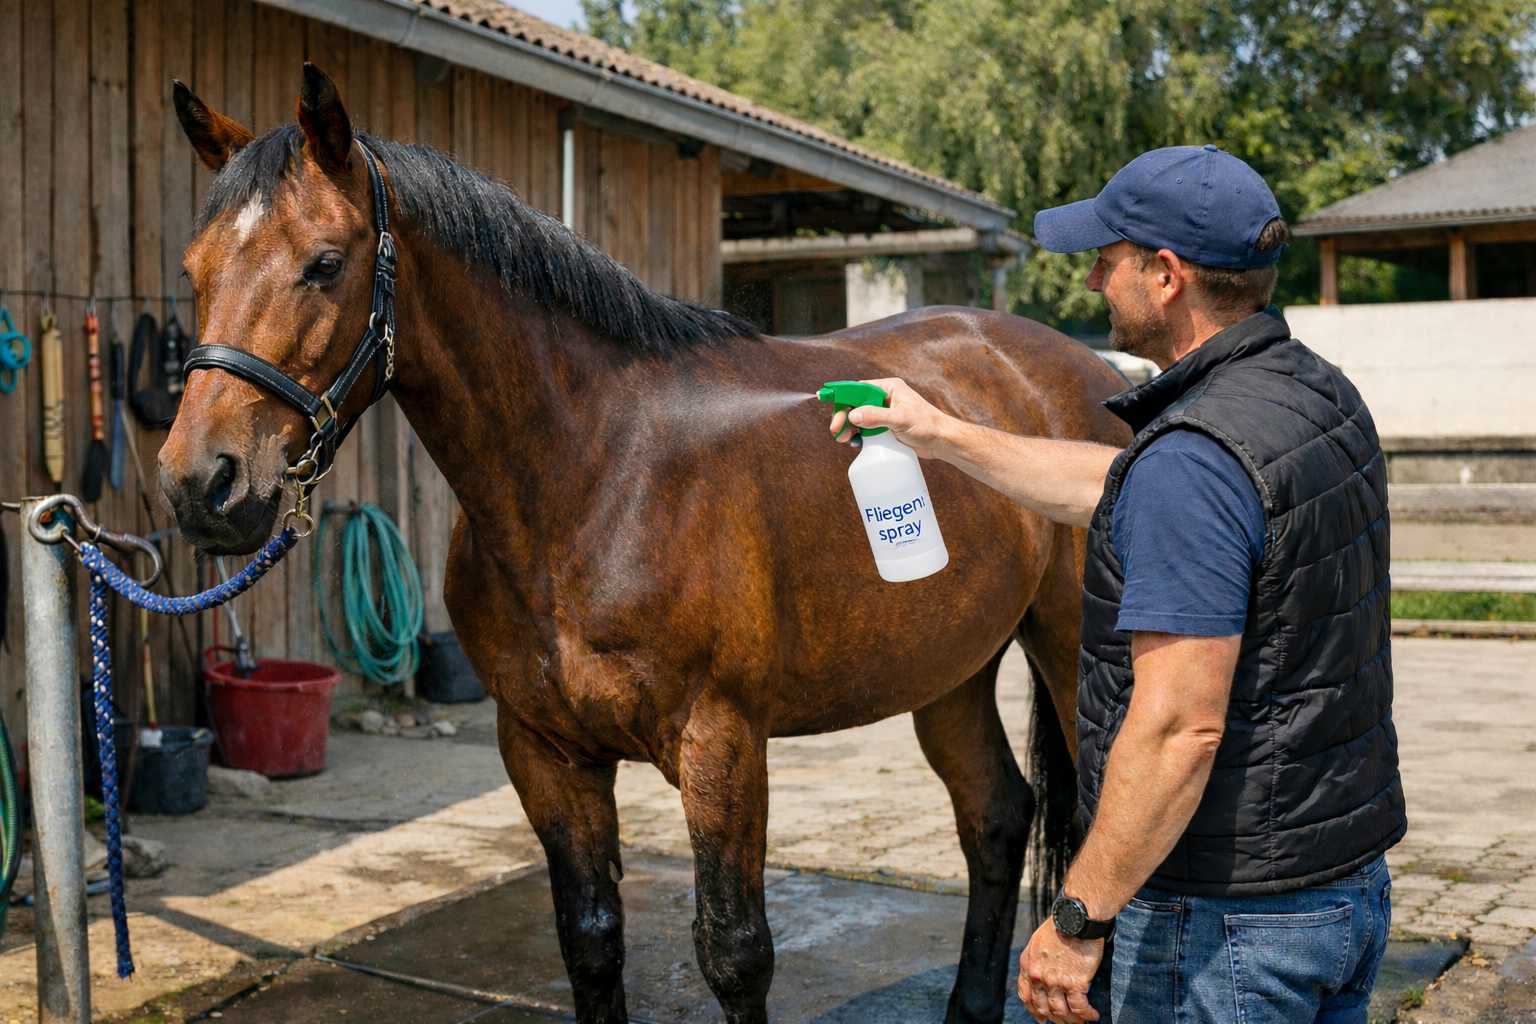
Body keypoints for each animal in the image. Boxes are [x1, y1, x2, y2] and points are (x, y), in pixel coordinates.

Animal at [159, 65, 1130, 1024]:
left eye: (325, 264)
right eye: (192, 269)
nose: (201, 484)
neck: (596, 475)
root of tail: (1090, 376)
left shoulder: (722, 744)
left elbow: (735, 953)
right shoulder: (545, 753)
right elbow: (590, 939)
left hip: (1069, 649)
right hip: (950, 666)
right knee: (996, 817)